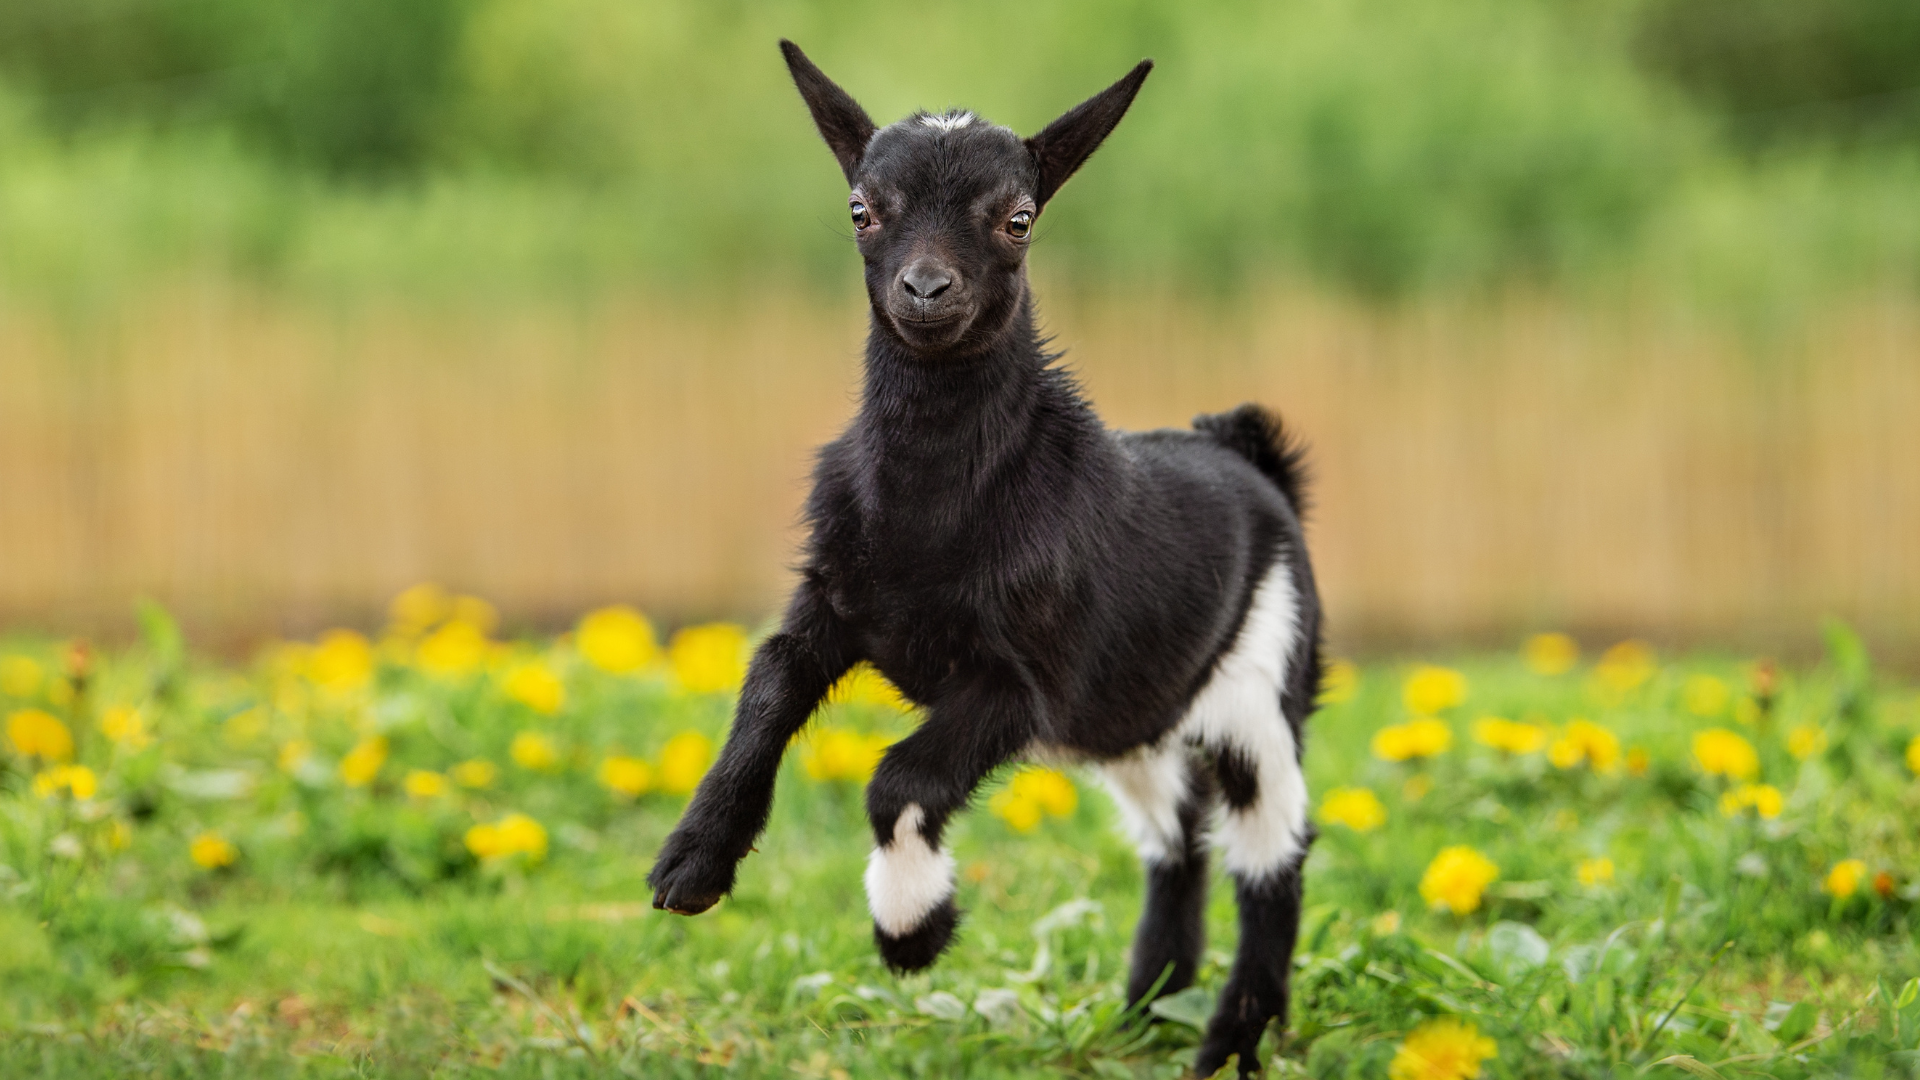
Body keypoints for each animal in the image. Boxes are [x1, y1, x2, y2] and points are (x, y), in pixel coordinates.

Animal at [648, 41, 1324, 1077]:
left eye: (1018, 218)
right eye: (862, 208)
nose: (927, 291)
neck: (931, 513)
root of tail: (1247, 452)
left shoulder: (1025, 680)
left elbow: (901, 779)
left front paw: (911, 932)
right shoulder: (834, 605)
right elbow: (766, 686)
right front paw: (692, 864)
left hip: (1261, 681)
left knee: (1272, 851)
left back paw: (1231, 1038)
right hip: (1132, 718)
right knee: (1176, 837)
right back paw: (1148, 1003)